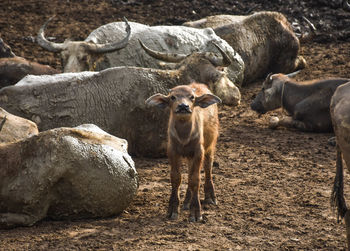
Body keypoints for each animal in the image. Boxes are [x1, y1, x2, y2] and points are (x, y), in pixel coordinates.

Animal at [146, 82, 220, 222]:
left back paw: (210, 197)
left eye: (192, 97)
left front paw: (196, 213)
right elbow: (176, 178)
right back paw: (186, 201)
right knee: (190, 173)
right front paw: (173, 210)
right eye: (173, 97)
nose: (183, 106)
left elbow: (195, 179)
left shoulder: (198, 152)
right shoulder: (173, 151)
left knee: (208, 168)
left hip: (210, 146)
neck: (184, 136)